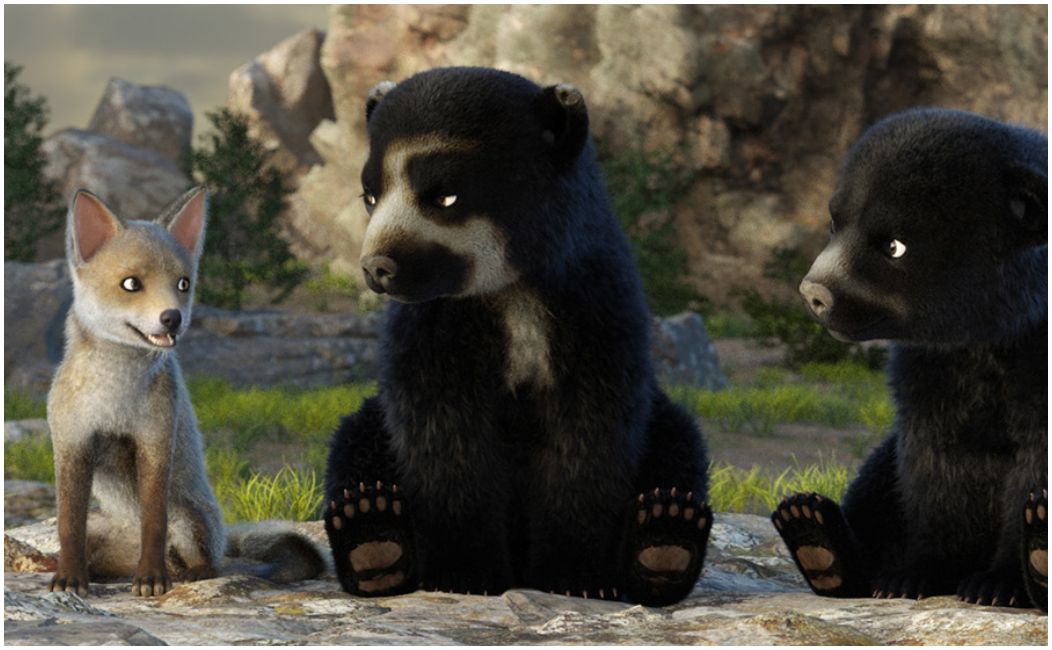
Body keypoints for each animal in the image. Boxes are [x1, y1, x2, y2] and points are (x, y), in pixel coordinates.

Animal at [322, 67, 712, 606]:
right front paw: (463, 572)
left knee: (678, 440)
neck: (512, 292)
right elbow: (444, 431)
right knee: (358, 438)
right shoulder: (436, 324)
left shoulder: (592, 308)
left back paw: (666, 537)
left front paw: (576, 577)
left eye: (445, 195)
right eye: (370, 196)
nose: (379, 267)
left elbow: (588, 433)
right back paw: (371, 535)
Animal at [772, 107, 1047, 610]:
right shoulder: (930, 364)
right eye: (834, 222)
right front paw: (912, 575)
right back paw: (813, 533)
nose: (815, 293)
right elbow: (934, 462)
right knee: (877, 479)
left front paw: (1002, 581)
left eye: (893, 245)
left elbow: (1034, 462)